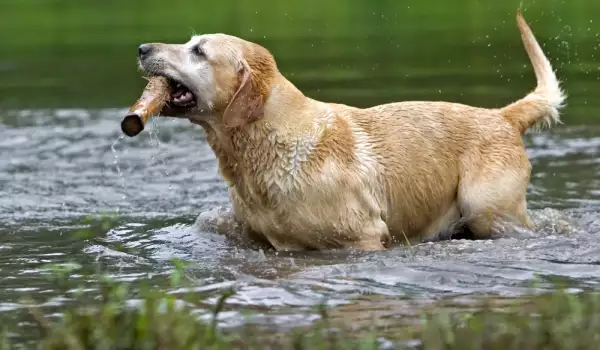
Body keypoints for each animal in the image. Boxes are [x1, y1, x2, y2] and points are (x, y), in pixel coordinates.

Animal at [135, 11, 564, 252]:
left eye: (199, 51)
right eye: (190, 43)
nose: (141, 48)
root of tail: (502, 116)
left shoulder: (363, 237)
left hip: (484, 208)